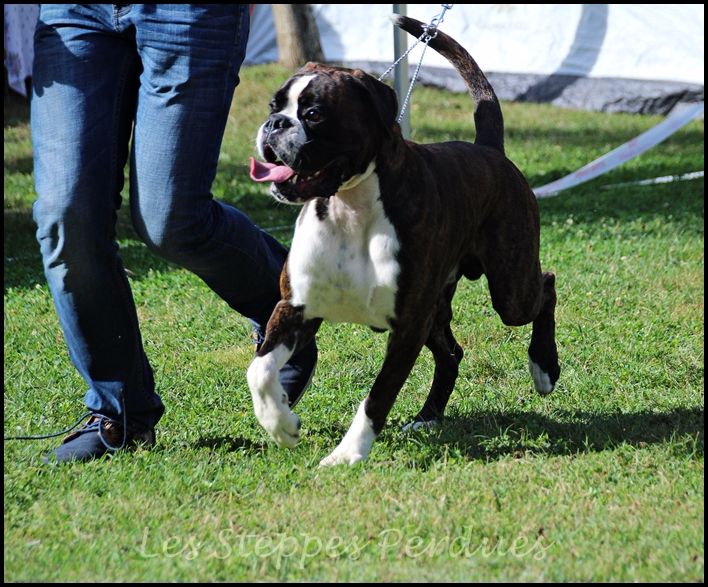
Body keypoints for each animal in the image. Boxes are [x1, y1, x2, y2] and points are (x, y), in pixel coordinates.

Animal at [248, 16, 560, 466]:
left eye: (313, 114)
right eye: (274, 108)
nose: (275, 125)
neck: (350, 206)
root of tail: (489, 150)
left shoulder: (408, 326)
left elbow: (377, 396)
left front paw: (347, 455)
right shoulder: (296, 308)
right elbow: (259, 370)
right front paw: (282, 425)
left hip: (509, 290)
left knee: (545, 288)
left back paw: (544, 367)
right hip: (437, 308)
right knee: (451, 354)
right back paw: (427, 417)